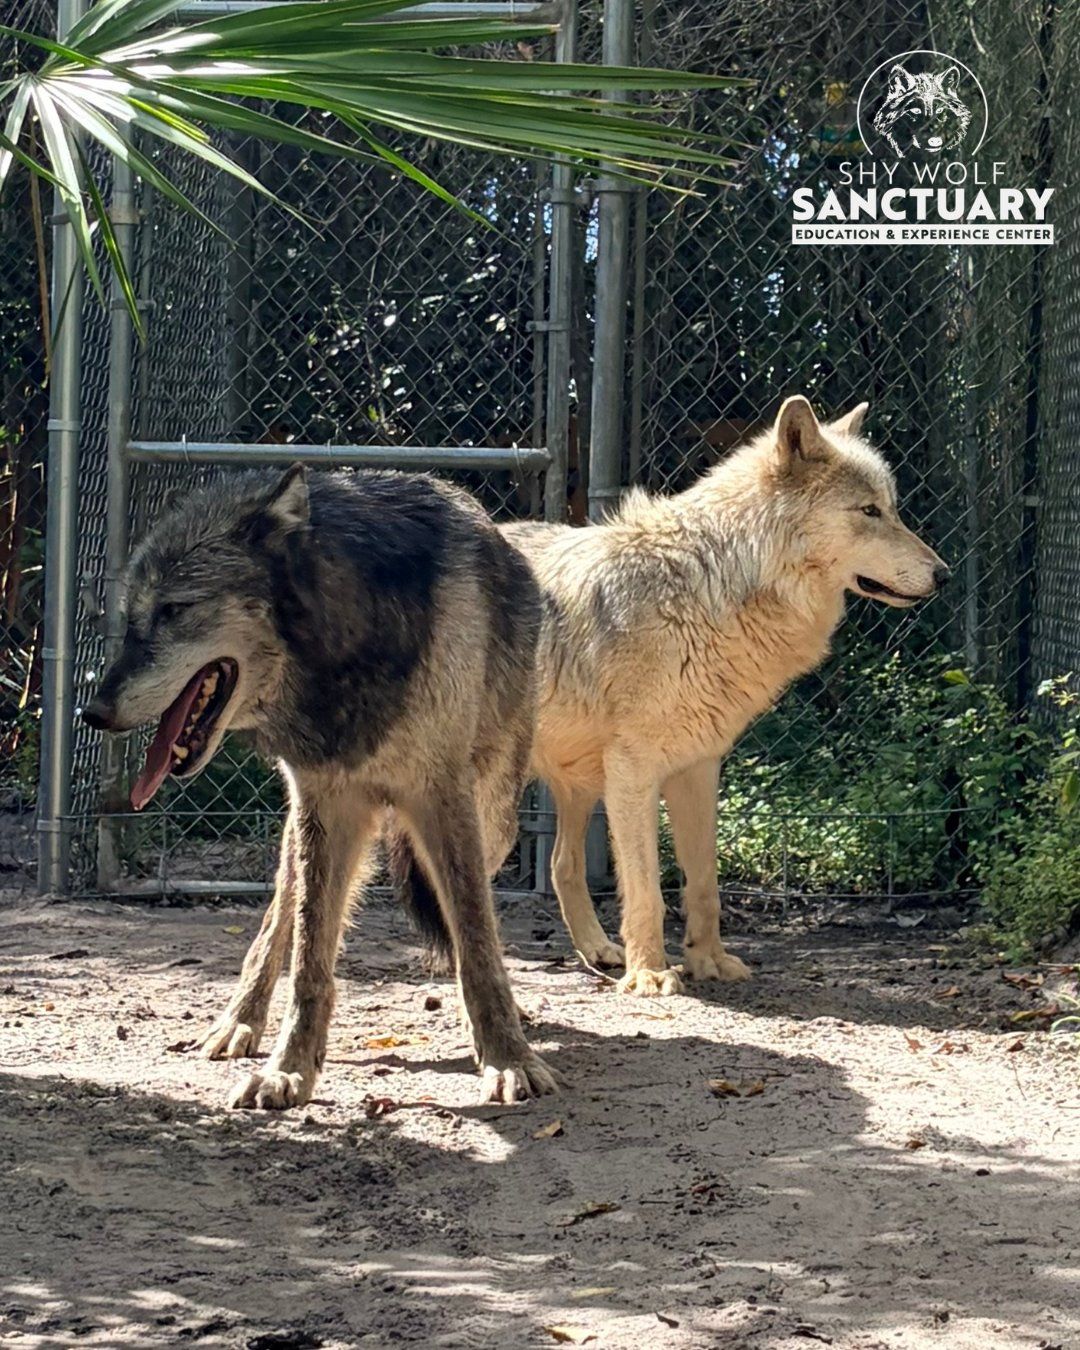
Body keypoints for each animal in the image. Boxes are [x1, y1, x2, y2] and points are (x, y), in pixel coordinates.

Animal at [82, 464, 557, 1108]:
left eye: (174, 610)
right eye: (131, 621)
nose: (92, 712)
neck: (342, 649)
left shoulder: (443, 800)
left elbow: (478, 943)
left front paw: (508, 1058)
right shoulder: (325, 805)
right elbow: (308, 959)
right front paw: (288, 1070)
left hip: (495, 820)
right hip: (304, 830)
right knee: (277, 918)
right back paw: (238, 1021)